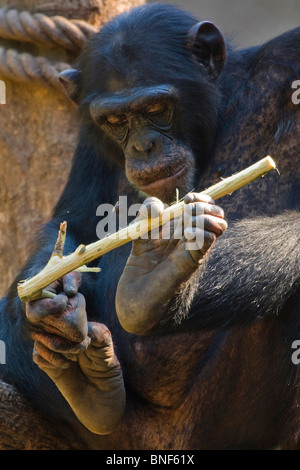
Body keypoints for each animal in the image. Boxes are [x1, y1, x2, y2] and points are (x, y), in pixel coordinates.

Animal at [0, 3, 300, 450]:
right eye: (115, 119)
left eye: (157, 110)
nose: (144, 146)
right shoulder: (89, 136)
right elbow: (75, 221)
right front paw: (49, 297)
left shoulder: (287, 65)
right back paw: (84, 374)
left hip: (216, 426)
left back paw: (151, 282)